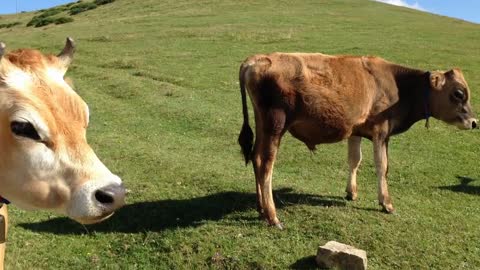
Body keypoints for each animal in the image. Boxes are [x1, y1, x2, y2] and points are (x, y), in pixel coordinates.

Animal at [238, 52, 478, 228]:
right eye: (458, 93)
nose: (474, 122)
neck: (399, 85)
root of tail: (257, 58)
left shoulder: (355, 130)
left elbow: (354, 160)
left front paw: (351, 192)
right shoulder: (381, 132)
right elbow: (382, 167)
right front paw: (386, 203)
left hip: (262, 124)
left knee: (255, 158)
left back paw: (261, 208)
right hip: (275, 124)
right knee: (265, 164)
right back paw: (272, 216)